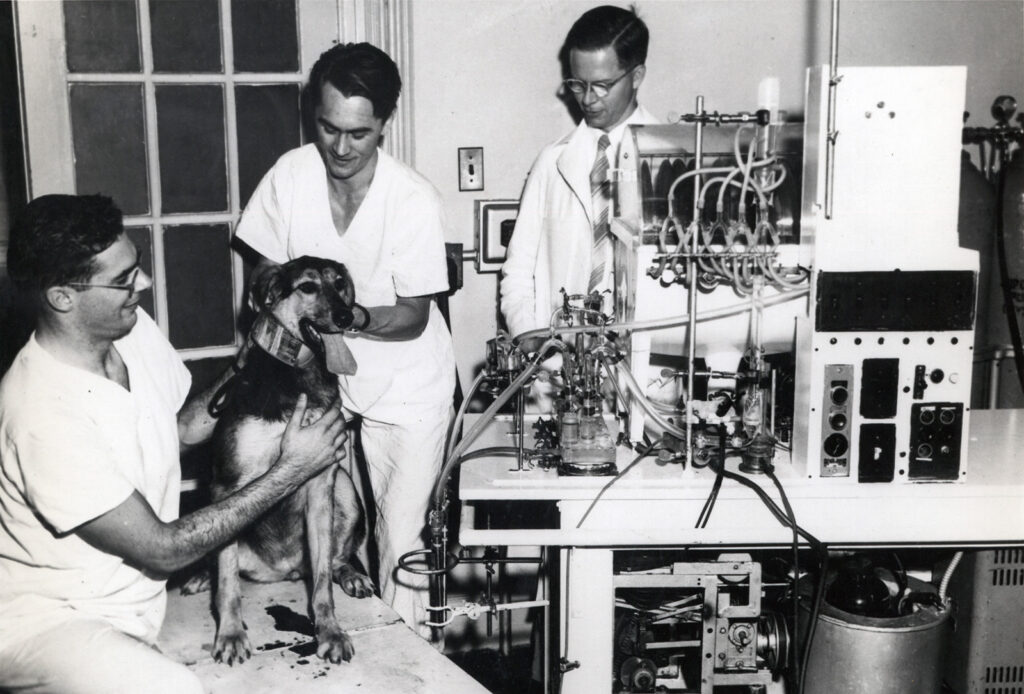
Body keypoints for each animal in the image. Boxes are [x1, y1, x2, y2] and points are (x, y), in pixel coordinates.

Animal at [202, 256, 372, 667]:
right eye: (307, 287)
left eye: (339, 283)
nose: (346, 316)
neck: (298, 372)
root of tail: (284, 571)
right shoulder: (226, 483)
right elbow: (227, 582)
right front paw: (230, 634)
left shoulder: (321, 481)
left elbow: (323, 582)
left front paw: (330, 631)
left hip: (345, 489)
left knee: (335, 558)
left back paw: (351, 574)